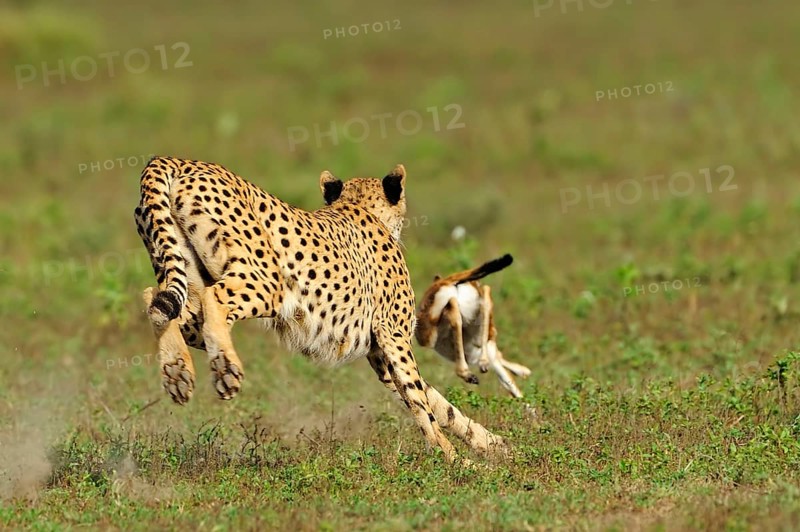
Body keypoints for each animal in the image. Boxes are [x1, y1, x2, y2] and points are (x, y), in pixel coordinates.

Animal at [133, 156, 505, 463]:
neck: (359, 207)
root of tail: (177, 160)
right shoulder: (393, 335)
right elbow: (420, 400)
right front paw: (456, 460)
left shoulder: (379, 352)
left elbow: (438, 403)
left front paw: (490, 444)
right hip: (265, 280)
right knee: (213, 299)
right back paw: (226, 369)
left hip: (183, 275)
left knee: (157, 300)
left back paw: (177, 373)